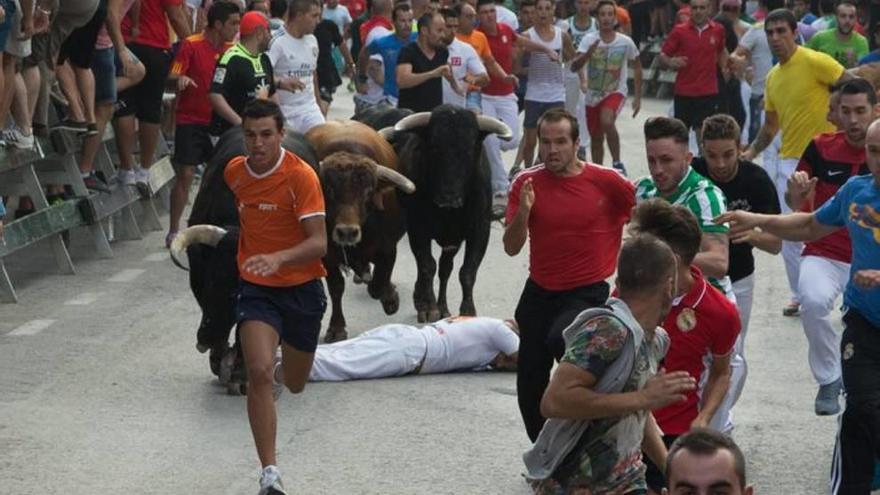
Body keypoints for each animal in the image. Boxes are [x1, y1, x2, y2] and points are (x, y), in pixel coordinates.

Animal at [304, 122, 414, 342]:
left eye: (368, 192)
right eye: (328, 190)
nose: (347, 232)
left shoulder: (388, 249)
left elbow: (378, 285)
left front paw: (391, 299)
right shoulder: (327, 257)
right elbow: (336, 288)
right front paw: (336, 328)